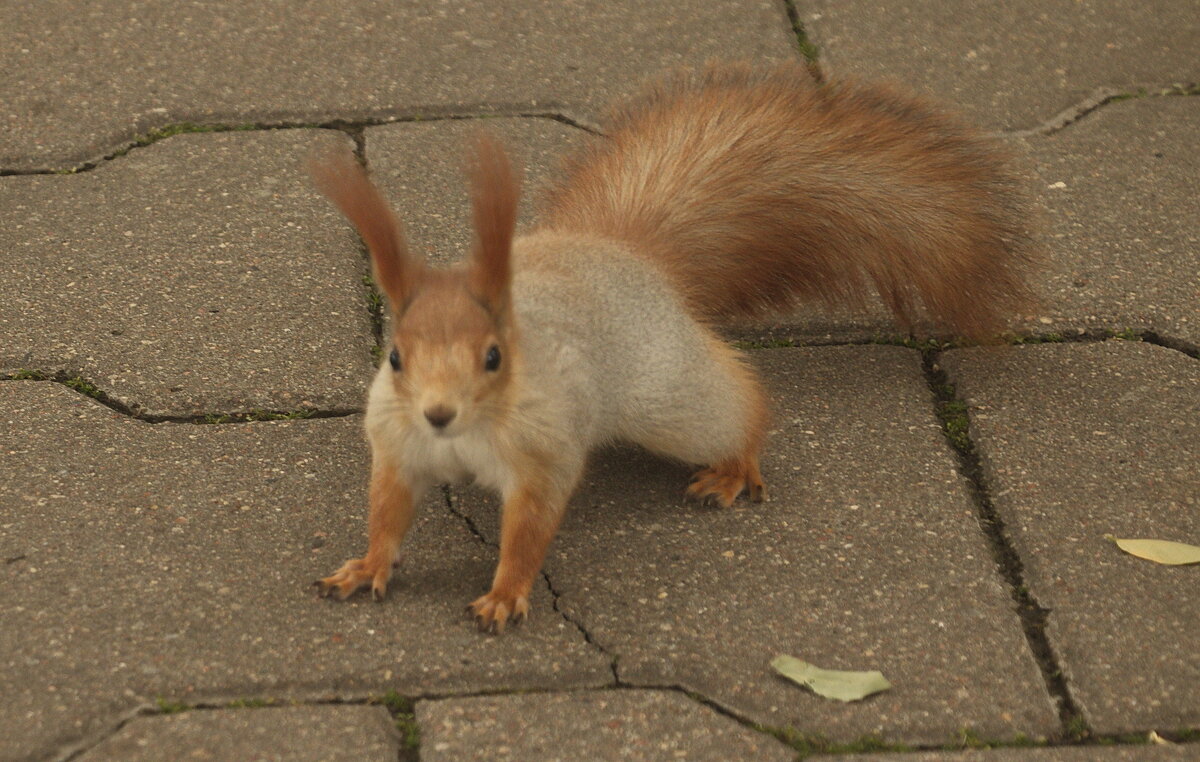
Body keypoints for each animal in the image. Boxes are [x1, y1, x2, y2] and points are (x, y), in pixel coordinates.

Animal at [314, 62, 1036, 633]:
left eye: (494, 356)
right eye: (395, 356)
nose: (438, 413)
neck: (461, 436)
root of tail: (632, 256)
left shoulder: (545, 450)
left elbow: (529, 530)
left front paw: (505, 592)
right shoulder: (396, 443)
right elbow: (387, 510)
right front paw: (368, 565)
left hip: (672, 398)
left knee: (737, 406)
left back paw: (734, 465)